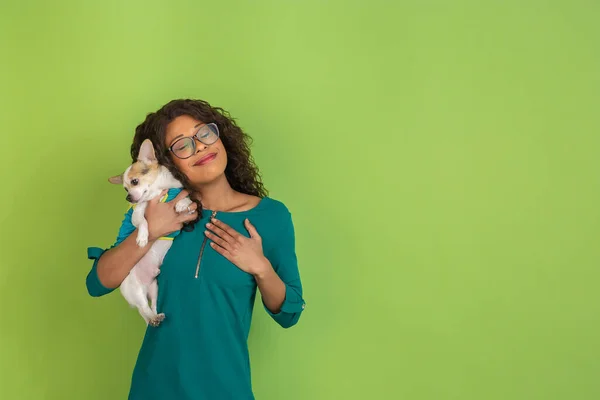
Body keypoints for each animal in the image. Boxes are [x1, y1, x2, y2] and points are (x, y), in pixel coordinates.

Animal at [106, 139, 192, 326]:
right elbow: (144, 221)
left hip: (155, 288)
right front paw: (143, 238)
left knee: (152, 306)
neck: (158, 191)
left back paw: (156, 316)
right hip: (135, 289)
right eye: (125, 189)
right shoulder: (137, 215)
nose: (128, 198)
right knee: (143, 308)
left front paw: (182, 204)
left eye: (134, 182)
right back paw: (152, 319)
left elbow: (188, 198)